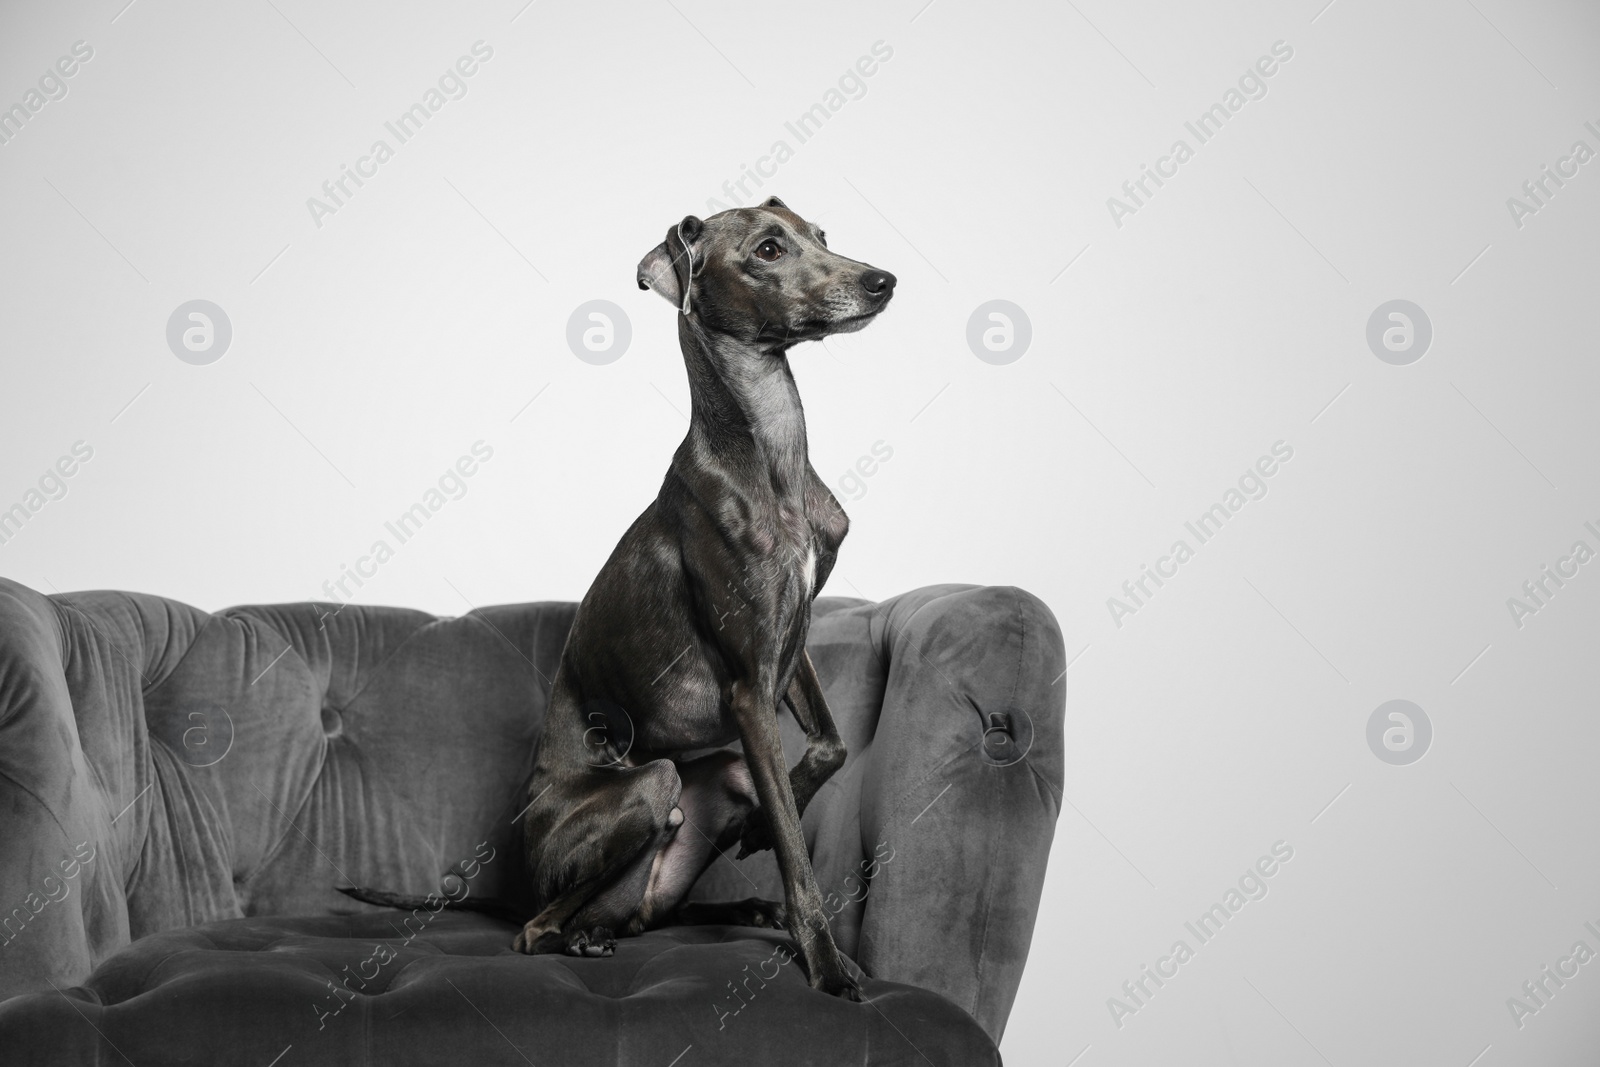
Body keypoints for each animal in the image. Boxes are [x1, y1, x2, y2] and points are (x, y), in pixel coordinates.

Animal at [342, 194, 896, 1004]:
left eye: (821, 235)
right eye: (768, 249)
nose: (884, 281)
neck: (770, 458)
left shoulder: (787, 644)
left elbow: (830, 745)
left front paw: (765, 826)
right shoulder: (747, 686)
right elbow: (798, 854)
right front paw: (825, 965)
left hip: (711, 783)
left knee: (638, 909)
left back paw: (684, 913)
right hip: (651, 785)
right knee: (537, 928)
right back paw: (578, 936)